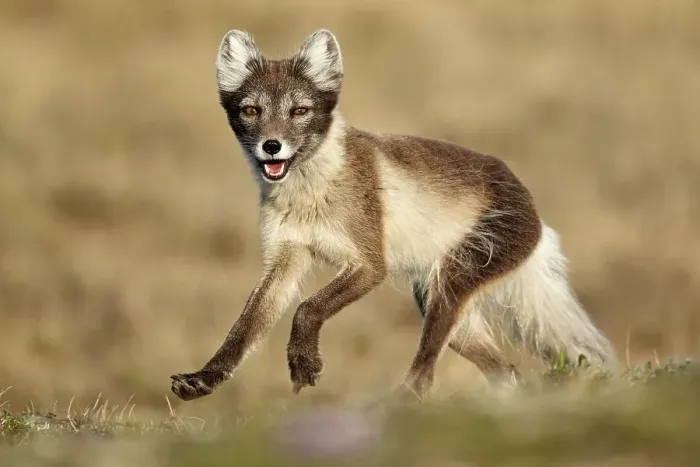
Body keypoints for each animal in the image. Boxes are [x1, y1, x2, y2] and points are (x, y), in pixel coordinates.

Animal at [170, 28, 618, 402]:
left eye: (299, 111)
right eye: (250, 110)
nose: (271, 146)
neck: (311, 193)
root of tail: (533, 208)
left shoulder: (370, 264)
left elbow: (307, 309)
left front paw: (304, 363)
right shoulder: (285, 258)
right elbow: (243, 329)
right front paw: (204, 379)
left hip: (451, 286)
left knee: (426, 373)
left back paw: (392, 407)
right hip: (444, 307)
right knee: (504, 371)